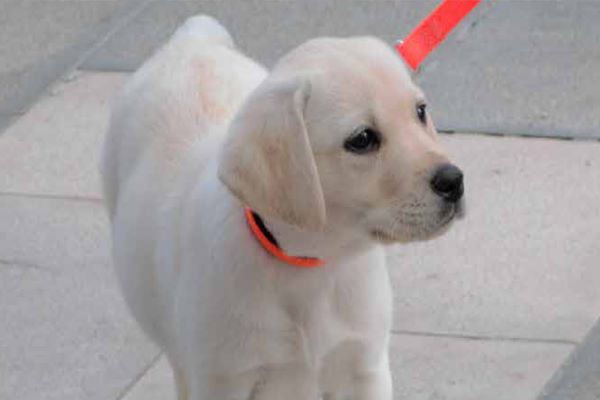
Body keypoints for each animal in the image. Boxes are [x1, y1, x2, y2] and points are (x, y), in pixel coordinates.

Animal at [102, 14, 464, 400]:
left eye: (420, 112)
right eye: (362, 140)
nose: (454, 181)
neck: (310, 265)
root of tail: (191, 41)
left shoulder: (364, 367)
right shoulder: (223, 381)